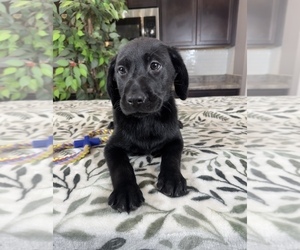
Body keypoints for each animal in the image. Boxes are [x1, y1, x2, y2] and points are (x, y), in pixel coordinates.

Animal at [105, 37, 189, 213]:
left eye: (155, 65)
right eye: (121, 70)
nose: (134, 100)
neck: (147, 121)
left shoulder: (175, 140)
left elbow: (172, 157)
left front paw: (173, 178)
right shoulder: (111, 147)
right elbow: (121, 166)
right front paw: (126, 191)